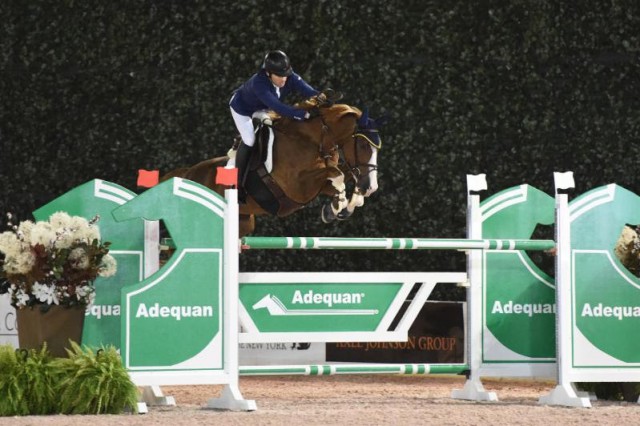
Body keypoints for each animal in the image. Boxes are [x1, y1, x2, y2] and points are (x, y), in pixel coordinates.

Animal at [163, 97, 384, 237]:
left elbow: (341, 177)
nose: (372, 187)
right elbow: (337, 175)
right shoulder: (297, 187)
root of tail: (187, 173)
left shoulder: (317, 186)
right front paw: (337, 207)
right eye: (363, 145)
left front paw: (345, 205)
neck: (312, 141)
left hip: (243, 223)